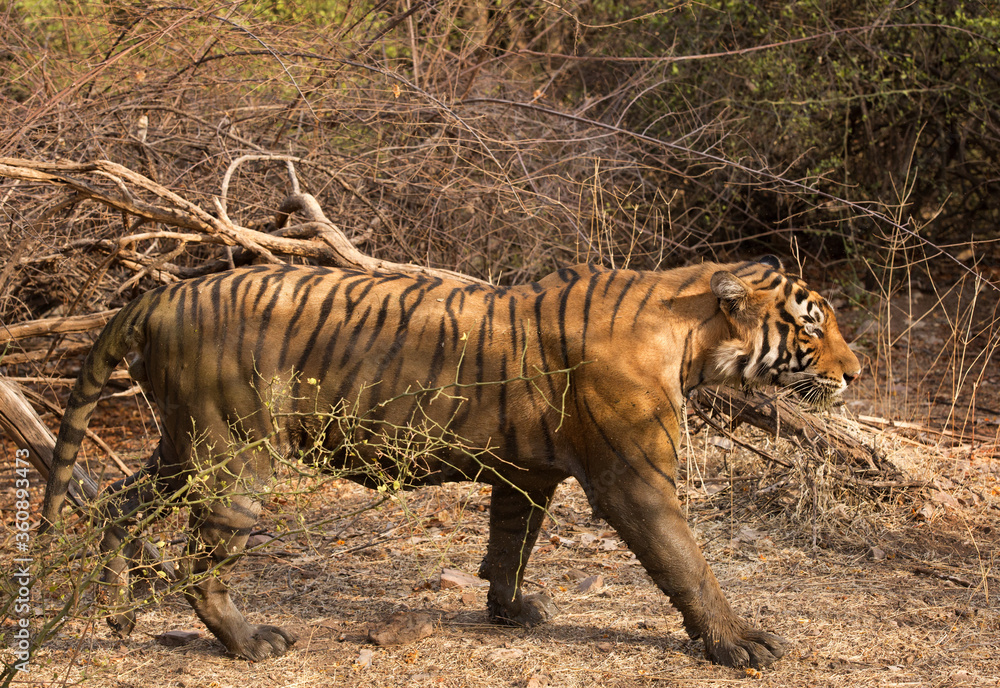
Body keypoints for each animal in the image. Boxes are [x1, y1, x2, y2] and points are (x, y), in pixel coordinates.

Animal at [41, 256, 860, 669]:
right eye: (811, 327)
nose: (855, 373)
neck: (690, 333)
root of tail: (162, 294)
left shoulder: (527, 474)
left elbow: (511, 544)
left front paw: (510, 610)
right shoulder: (636, 480)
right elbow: (686, 563)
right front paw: (737, 642)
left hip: (186, 448)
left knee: (117, 500)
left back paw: (117, 611)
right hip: (235, 456)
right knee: (200, 562)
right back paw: (249, 644)